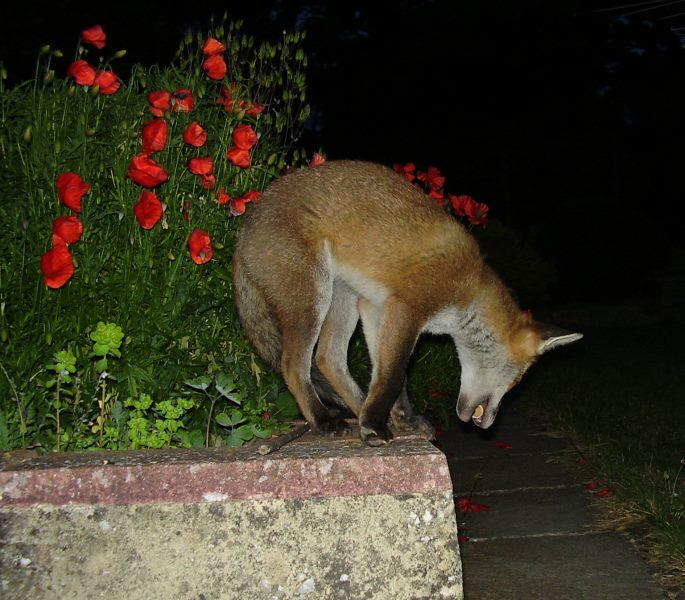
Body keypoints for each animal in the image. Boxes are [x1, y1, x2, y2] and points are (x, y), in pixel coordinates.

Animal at [231, 159, 584, 446]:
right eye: (515, 381)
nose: (488, 424)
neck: (469, 287)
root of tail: (244, 227)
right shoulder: (409, 307)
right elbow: (394, 374)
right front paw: (374, 426)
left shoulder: (377, 307)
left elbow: (385, 374)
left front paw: (397, 419)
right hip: (312, 299)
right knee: (294, 365)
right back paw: (324, 422)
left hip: (344, 298)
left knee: (328, 358)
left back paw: (358, 410)